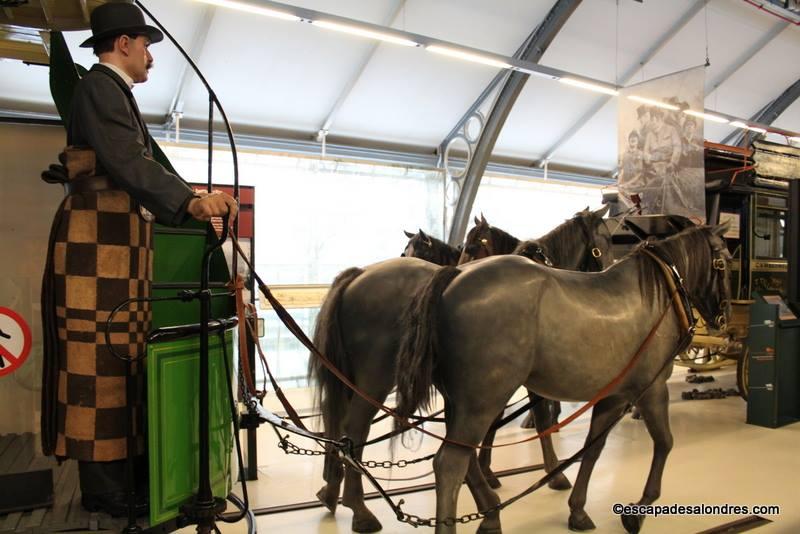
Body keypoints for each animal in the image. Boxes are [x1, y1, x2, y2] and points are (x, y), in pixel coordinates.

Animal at [308, 207, 612, 532]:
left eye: (478, 243)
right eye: (606, 239)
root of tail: (359, 274)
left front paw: (489, 473)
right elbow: (539, 420)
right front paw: (554, 473)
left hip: (350, 375)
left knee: (333, 415)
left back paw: (331, 489)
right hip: (374, 379)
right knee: (355, 428)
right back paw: (359, 508)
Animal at [394, 224, 732, 532]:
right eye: (725, 262)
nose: (723, 318)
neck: (659, 294)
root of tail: (454, 277)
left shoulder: (613, 396)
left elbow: (593, 449)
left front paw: (578, 510)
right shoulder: (652, 389)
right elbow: (664, 443)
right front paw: (638, 510)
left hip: (461, 404)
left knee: (465, 461)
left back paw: (491, 514)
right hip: (482, 402)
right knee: (450, 465)